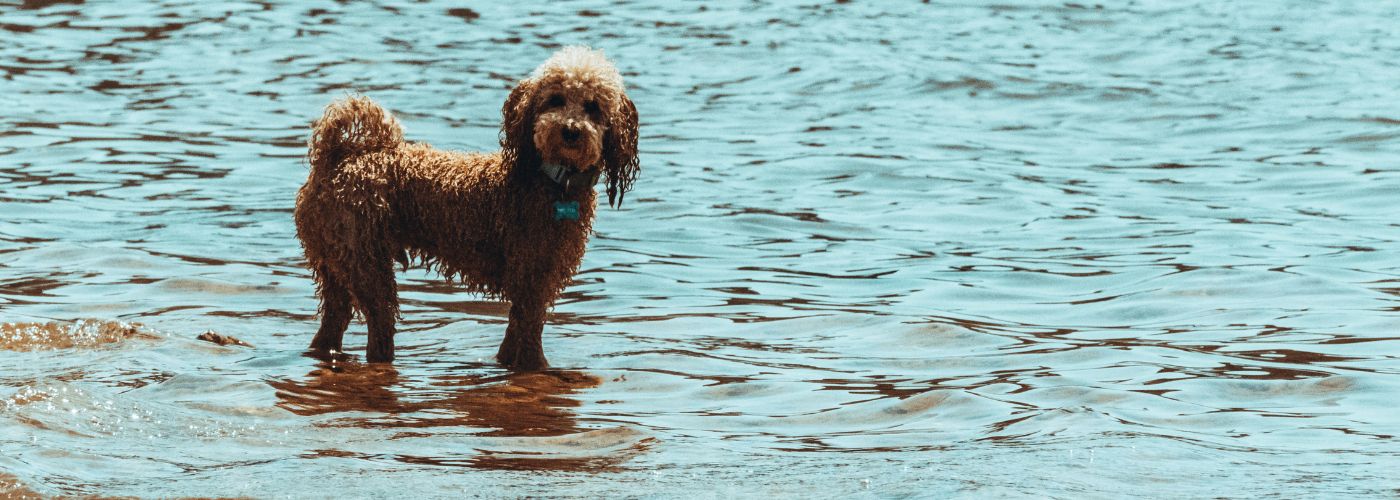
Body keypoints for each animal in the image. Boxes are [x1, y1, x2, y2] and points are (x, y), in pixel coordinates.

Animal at [298, 46, 641, 366]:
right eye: (555, 100)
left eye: (593, 107)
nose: (570, 130)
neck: (552, 181)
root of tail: (337, 159)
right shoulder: (532, 282)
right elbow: (530, 345)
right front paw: (539, 369)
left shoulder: (534, 288)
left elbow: (513, 338)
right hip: (367, 265)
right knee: (378, 329)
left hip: (334, 266)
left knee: (332, 323)